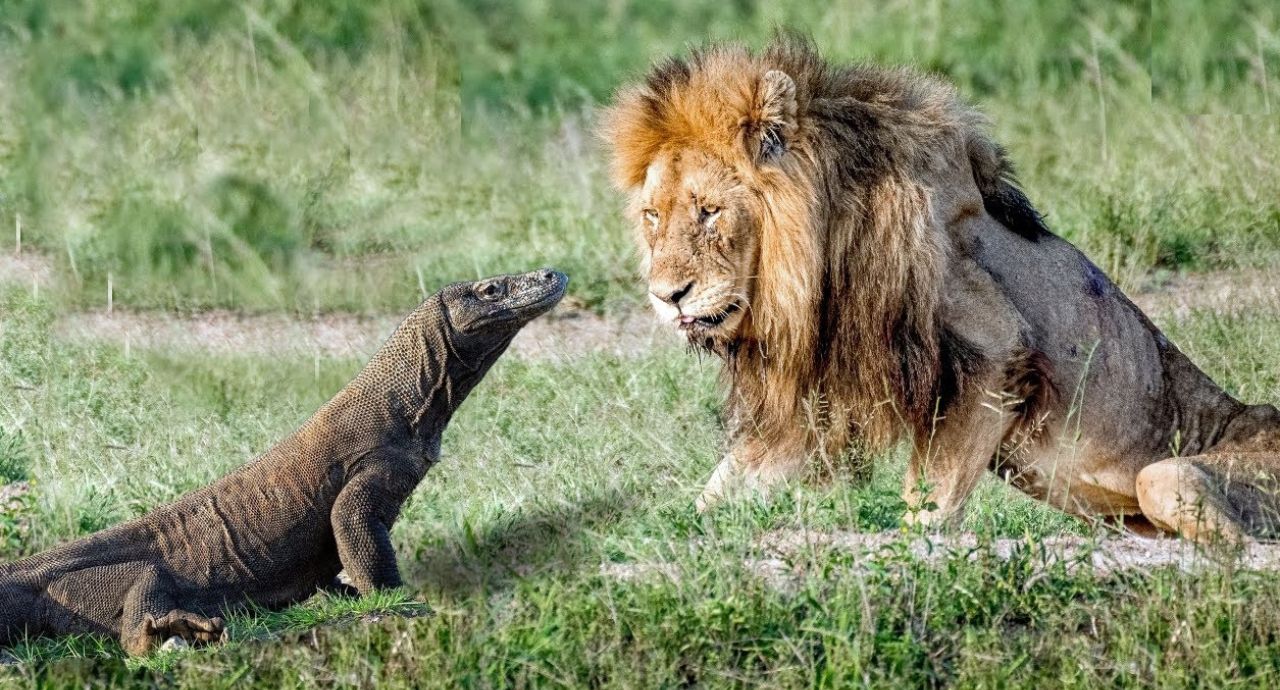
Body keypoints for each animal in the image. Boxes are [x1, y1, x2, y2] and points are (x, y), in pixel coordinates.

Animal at [599, 36, 1280, 545]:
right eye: (653, 216)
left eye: (710, 211)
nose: (666, 295)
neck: (821, 255)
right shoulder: (815, 395)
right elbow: (721, 485)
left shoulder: (995, 355)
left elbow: (927, 501)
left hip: (1171, 477)